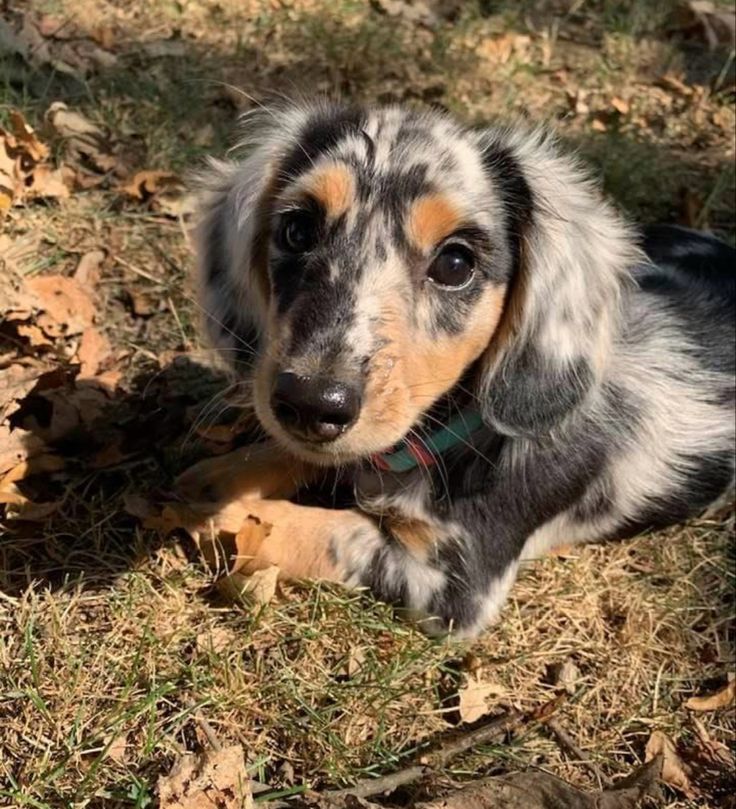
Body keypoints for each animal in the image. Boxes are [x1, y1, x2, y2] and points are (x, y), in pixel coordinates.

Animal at [181, 101, 732, 636]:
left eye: (455, 264)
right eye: (297, 231)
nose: (311, 403)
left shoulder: (454, 581)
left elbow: (323, 531)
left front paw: (229, 515)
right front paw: (223, 476)